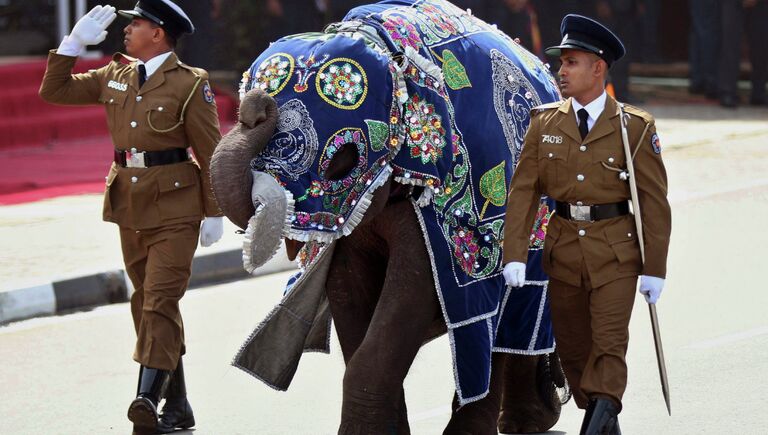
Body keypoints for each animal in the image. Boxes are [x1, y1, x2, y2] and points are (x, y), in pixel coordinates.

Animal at [210, 1, 568, 434]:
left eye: (342, 159)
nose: (255, 105)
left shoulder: (435, 208)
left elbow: (415, 294)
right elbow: (348, 290)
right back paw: (530, 415)